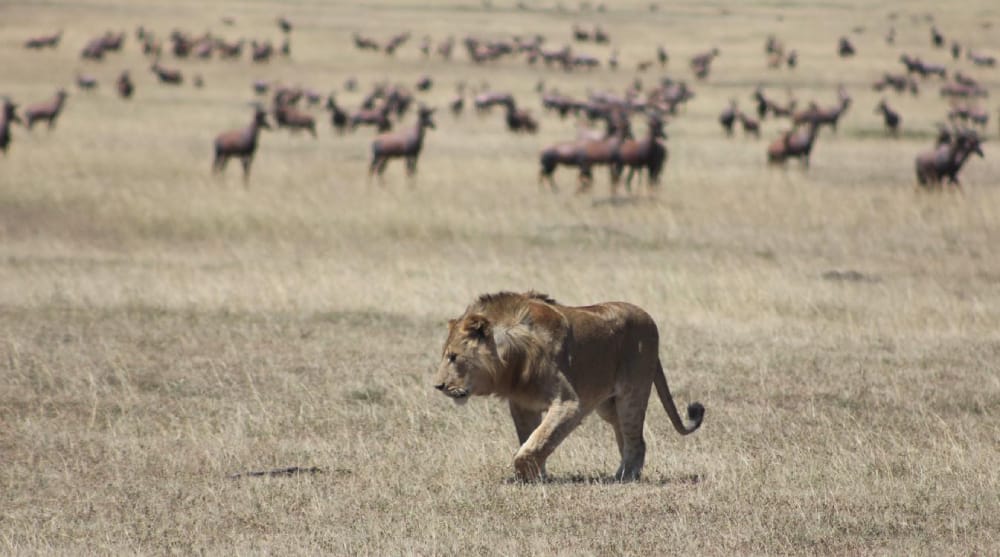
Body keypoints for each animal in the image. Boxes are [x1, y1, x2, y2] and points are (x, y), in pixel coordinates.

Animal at [434, 292, 708, 482]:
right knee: (629, 437)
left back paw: (624, 477)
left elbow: (538, 441)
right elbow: (531, 438)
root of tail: (649, 318)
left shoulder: (570, 403)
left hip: (632, 394)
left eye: (454, 357)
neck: (512, 358)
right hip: (608, 405)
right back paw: (625, 473)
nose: (438, 386)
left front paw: (527, 475)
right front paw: (538, 476)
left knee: (636, 440)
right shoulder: (522, 405)